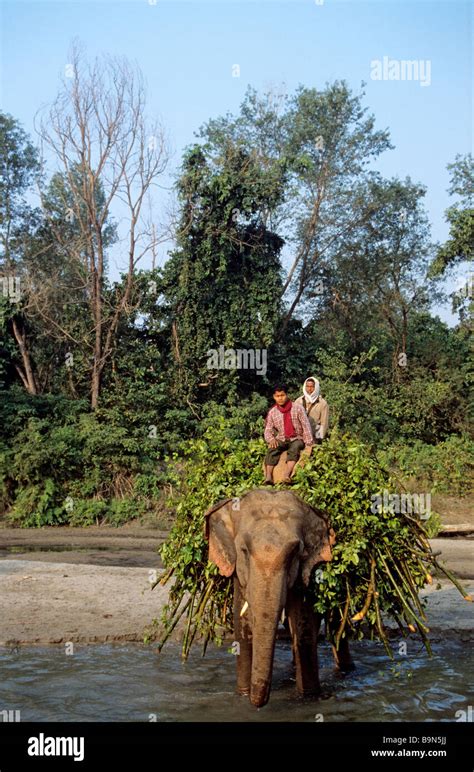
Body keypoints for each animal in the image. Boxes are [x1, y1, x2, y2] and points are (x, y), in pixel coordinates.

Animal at [204, 488, 352, 704]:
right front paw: (243, 695)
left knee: (337, 624)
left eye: (294, 552)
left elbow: (303, 624)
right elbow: (242, 623)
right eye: (243, 550)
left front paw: (309, 697)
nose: (258, 705)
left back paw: (346, 671)